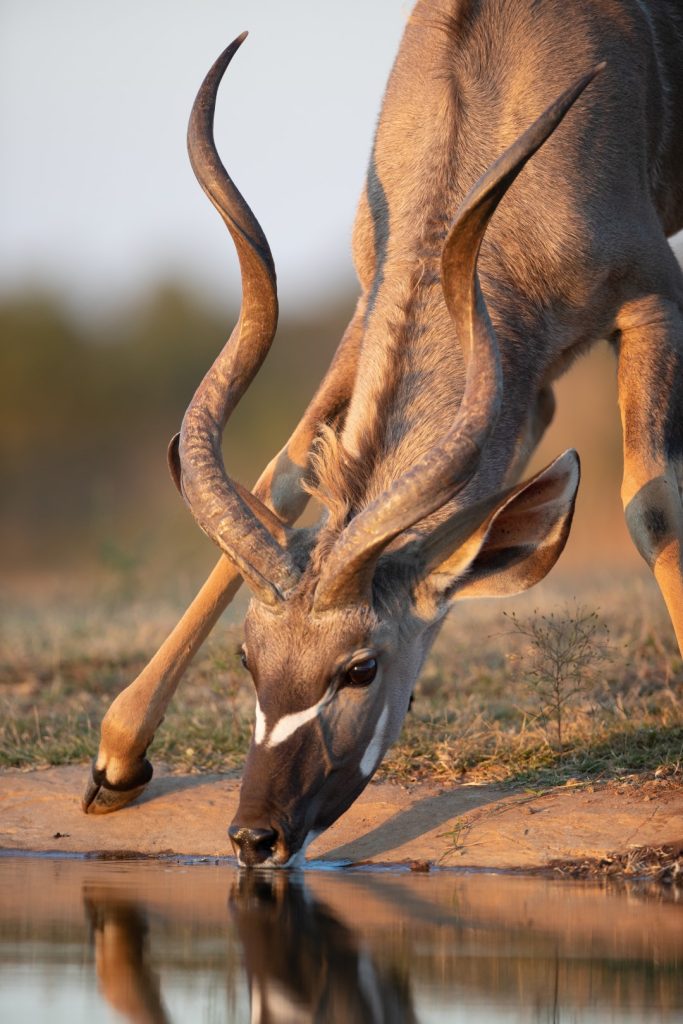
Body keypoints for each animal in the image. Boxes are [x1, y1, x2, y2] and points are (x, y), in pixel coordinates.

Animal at [83, 0, 683, 864]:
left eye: (360, 668)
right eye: (247, 657)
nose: (255, 835)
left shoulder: (651, 295)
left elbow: (650, 503)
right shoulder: (414, 330)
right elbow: (282, 476)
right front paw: (116, 761)